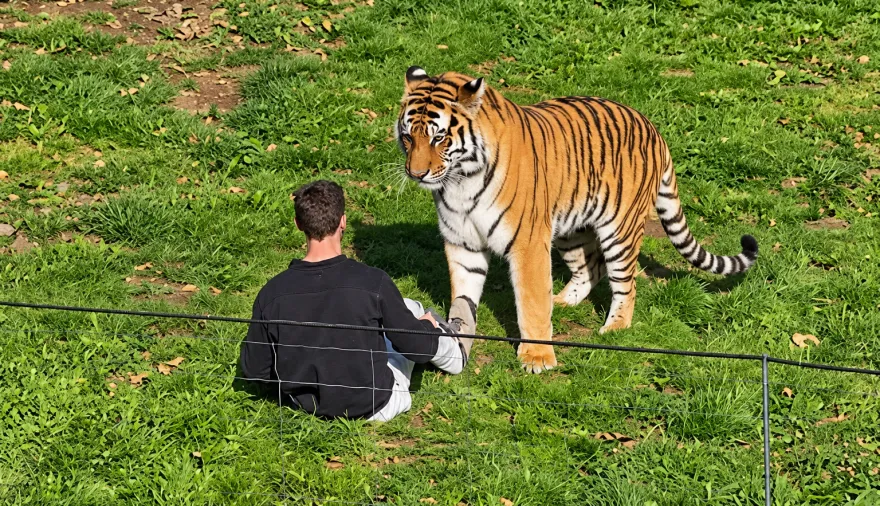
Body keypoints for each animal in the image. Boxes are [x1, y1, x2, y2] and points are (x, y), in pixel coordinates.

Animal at [396, 66, 758, 374]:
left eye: (439, 138)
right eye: (408, 137)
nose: (416, 173)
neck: (461, 180)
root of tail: (653, 128)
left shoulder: (528, 244)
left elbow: (531, 301)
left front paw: (537, 358)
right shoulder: (462, 243)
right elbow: (464, 296)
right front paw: (458, 338)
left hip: (620, 230)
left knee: (626, 283)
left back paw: (614, 327)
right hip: (570, 229)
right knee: (590, 269)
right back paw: (562, 301)